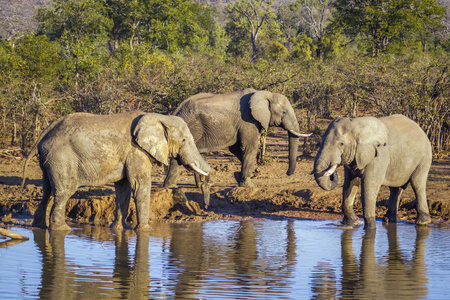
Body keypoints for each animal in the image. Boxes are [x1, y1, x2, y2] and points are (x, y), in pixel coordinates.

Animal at [21, 111, 211, 231]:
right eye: (184, 140)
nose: (206, 208)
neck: (159, 117)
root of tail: (43, 135)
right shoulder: (136, 151)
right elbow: (140, 186)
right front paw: (145, 231)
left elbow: (124, 188)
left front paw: (120, 229)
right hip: (62, 158)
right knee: (64, 191)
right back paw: (62, 229)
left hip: (50, 159)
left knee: (47, 189)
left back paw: (39, 226)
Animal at [163, 89, 312, 206]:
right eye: (284, 112)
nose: (288, 173)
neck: (265, 94)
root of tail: (177, 109)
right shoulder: (248, 120)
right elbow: (249, 147)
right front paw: (248, 185)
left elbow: (237, 149)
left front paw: (238, 177)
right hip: (191, 125)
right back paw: (171, 187)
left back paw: (201, 185)